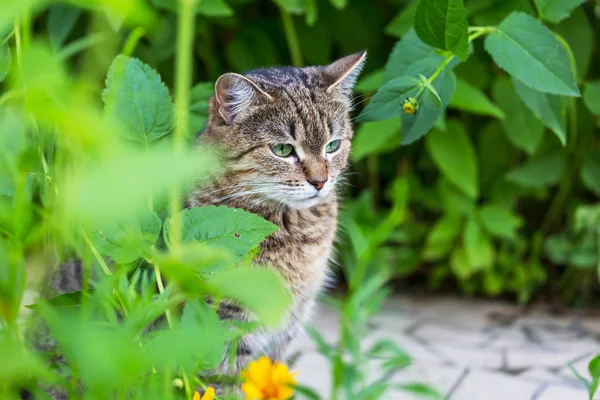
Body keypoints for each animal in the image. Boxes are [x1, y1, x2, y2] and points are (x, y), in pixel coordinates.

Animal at [189, 49, 366, 390]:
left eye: (333, 145)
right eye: (283, 149)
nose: (320, 181)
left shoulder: (289, 323)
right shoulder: (226, 325)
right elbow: (224, 384)